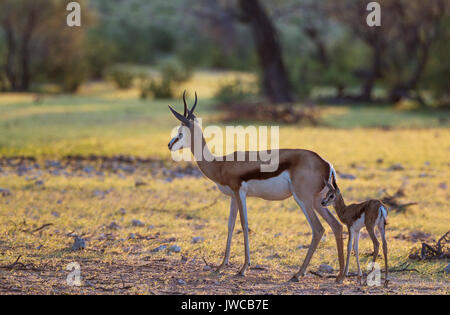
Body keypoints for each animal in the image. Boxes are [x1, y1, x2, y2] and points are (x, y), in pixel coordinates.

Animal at [167, 92, 346, 284]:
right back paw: (340, 275)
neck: (220, 164)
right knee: (336, 226)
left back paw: (298, 274)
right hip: (318, 201)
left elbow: (244, 224)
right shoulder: (233, 196)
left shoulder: (239, 192)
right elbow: (230, 225)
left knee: (318, 229)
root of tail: (326, 164)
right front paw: (221, 266)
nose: (169, 145)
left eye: (179, 133)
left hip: (303, 200)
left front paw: (243, 268)